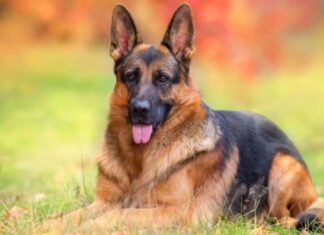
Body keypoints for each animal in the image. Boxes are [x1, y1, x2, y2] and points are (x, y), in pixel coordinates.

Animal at [43, 3, 324, 233]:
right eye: (131, 76)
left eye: (162, 78)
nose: (139, 110)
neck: (139, 161)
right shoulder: (104, 201)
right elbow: (70, 216)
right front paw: (51, 225)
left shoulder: (175, 212)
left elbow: (117, 215)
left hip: (282, 166)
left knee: (285, 219)